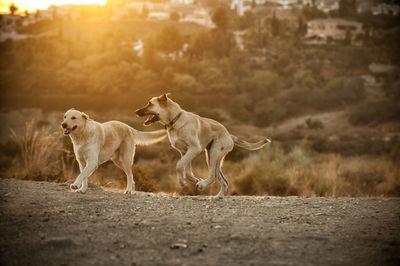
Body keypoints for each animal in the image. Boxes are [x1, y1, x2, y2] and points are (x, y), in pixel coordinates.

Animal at [136, 93, 270, 197]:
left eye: (150, 103)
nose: (136, 111)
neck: (175, 120)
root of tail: (229, 135)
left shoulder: (194, 149)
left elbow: (179, 165)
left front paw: (182, 182)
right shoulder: (185, 152)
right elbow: (188, 171)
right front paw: (194, 179)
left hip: (214, 152)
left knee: (213, 175)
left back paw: (203, 185)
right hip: (212, 156)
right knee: (223, 180)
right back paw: (217, 197)